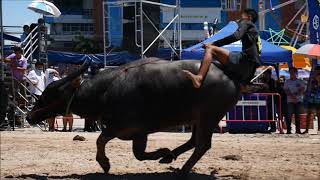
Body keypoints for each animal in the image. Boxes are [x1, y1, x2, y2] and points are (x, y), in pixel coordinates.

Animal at [26, 58, 240, 174]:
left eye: (47, 95)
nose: (29, 117)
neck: (106, 91)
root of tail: (227, 74)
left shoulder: (124, 127)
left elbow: (100, 139)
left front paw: (104, 163)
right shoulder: (139, 133)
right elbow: (138, 154)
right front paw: (164, 153)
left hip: (207, 118)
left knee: (202, 144)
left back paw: (183, 170)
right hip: (197, 119)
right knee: (194, 141)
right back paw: (170, 158)